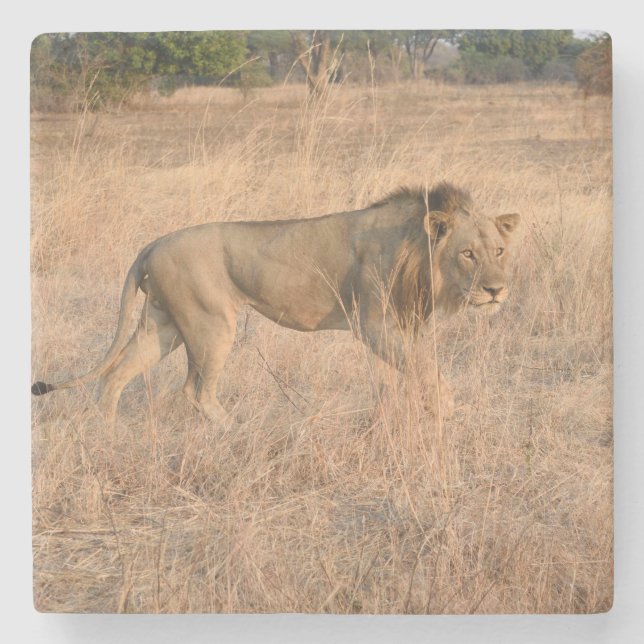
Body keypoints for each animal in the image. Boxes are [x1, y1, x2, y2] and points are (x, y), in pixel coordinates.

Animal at [32, 182, 520, 423]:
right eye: (467, 253)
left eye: (498, 251)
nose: (497, 290)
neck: (419, 251)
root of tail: (152, 244)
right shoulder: (376, 325)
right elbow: (427, 372)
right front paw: (446, 416)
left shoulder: (401, 327)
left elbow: (399, 379)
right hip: (211, 326)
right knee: (195, 391)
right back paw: (234, 433)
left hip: (164, 325)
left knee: (113, 378)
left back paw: (107, 437)